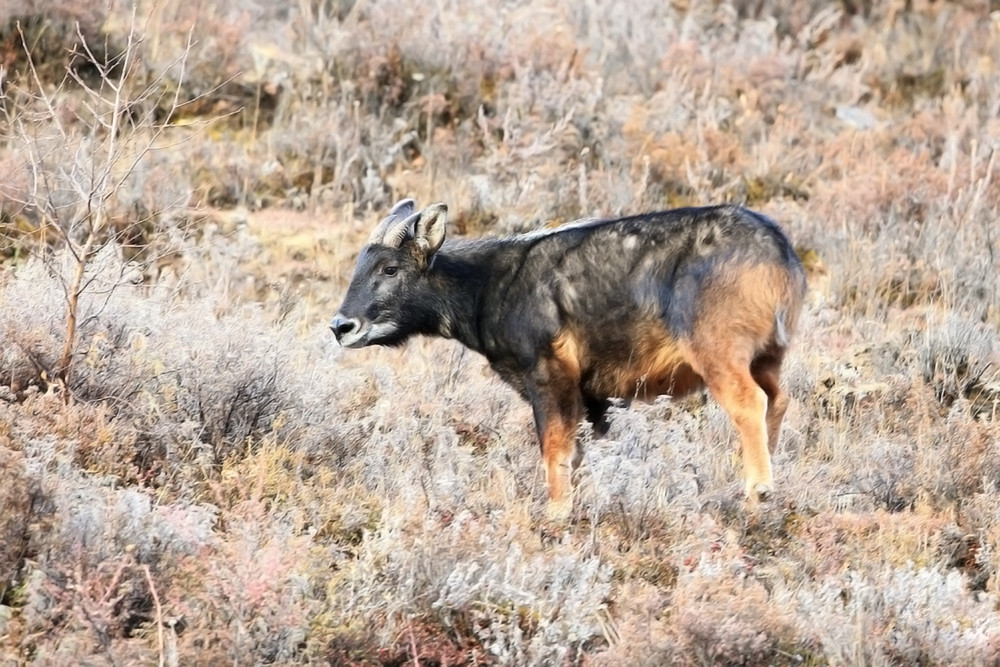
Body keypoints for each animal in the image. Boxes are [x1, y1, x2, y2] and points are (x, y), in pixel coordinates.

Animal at [332, 201, 808, 520]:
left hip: (719, 355)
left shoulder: (549, 376)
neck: (488, 287)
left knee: (750, 403)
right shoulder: (596, 399)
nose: (341, 326)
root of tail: (782, 255)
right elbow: (582, 453)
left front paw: (557, 512)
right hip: (767, 357)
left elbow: (554, 448)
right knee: (779, 400)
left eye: (390, 269)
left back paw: (757, 490)